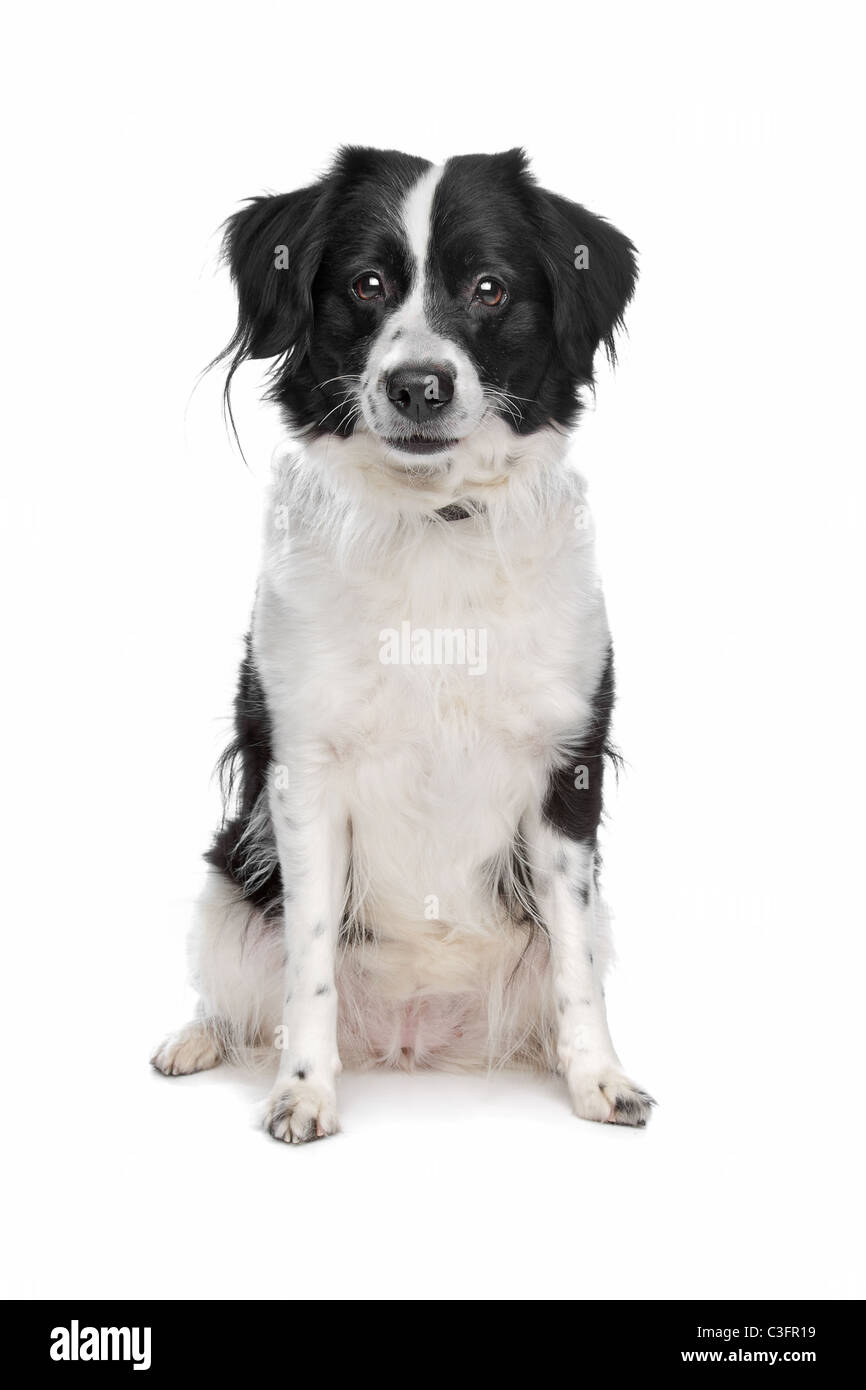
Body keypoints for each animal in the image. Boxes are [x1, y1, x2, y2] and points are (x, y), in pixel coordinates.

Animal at [152, 146, 653, 1139]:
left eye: (490, 288)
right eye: (367, 284)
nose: (417, 384)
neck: (434, 521)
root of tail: (415, 1036)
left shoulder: (565, 772)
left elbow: (575, 964)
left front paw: (599, 1080)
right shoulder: (304, 770)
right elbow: (307, 962)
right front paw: (304, 1090)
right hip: (230, 878)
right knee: (236, 996)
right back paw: (195, 1041)